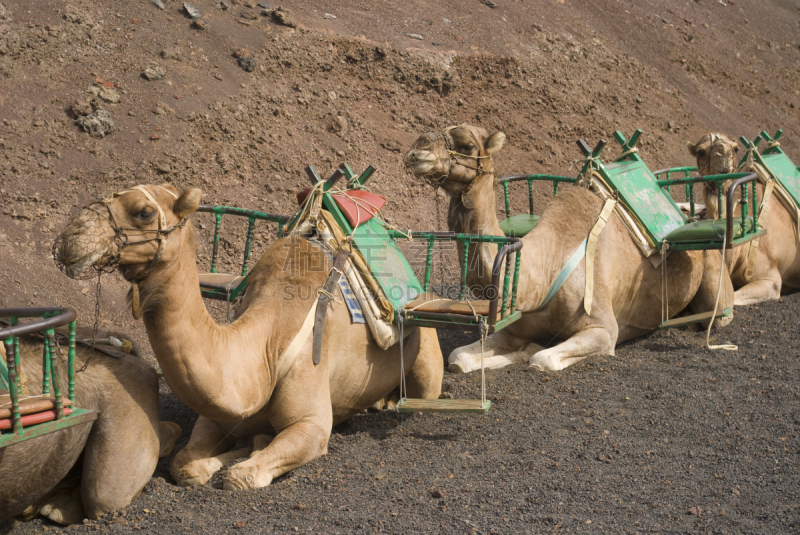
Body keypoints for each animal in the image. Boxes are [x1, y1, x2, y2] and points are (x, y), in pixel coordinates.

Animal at [54, 183, 444, 490]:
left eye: (144, 211)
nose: (71, 238)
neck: (266, 345)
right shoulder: (217, 412)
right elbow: (185, 466)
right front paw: (240, 447)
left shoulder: (313, 423)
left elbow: (240, 476)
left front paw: (246, 455)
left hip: (426, 345)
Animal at [404, 124, 736, 372]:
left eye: (467, 145)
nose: (417, 147)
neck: (545, 267)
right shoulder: (514, 328)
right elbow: (457, 358)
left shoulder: (604, 329)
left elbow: (541, 359)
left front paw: (529, 352)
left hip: (715, 276)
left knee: (721, 314)